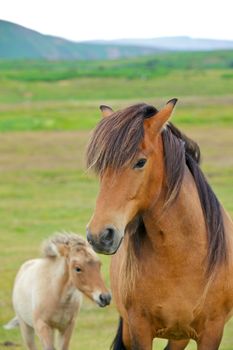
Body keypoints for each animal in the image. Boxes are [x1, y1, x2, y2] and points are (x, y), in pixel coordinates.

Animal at [86, 100, 233, 348]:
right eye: (102, 166)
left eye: (140, 162)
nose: (99, 235)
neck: (182, 258)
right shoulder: (139, 329)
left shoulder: (212, 332)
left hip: (180, 336)